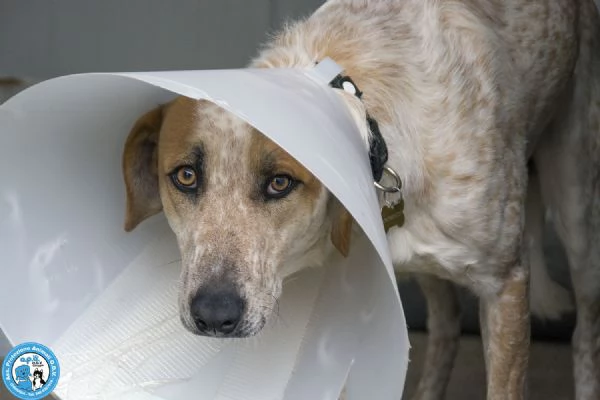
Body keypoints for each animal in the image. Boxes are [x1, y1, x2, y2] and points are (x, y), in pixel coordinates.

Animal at [122, 1, 600, 398]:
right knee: (445, 326)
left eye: (279, 183)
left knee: (584, 332)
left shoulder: (506, 283)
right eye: (186, 176)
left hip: (575, 201)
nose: (213, 315)